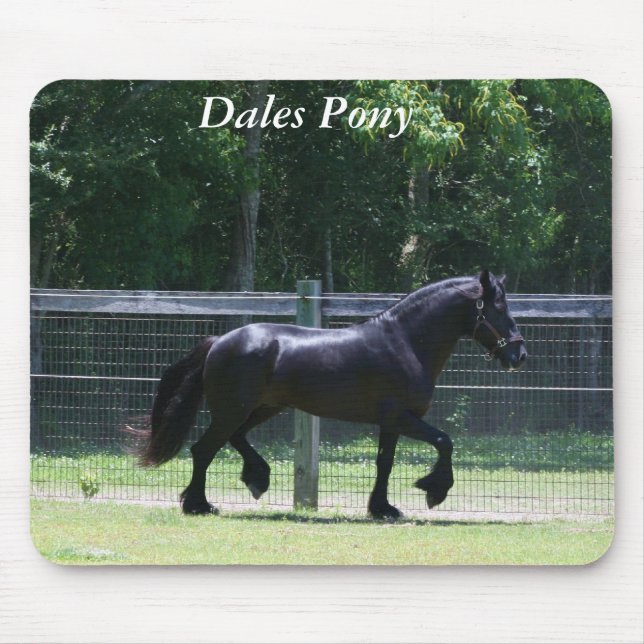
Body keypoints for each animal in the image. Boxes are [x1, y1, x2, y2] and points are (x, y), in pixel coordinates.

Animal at [135, 269, 527, 519]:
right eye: (498, 307)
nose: (519, 354)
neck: (404, 343)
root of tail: (219, 342)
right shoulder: (402, 417)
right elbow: (445, 441)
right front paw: (434, 490)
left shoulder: (391, 421)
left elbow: (384, 463)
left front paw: (383, 509)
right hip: (234, 409)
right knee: (204, 450)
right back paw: (199, 505)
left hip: (263, 408)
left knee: (235, 439)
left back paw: (257, 478)